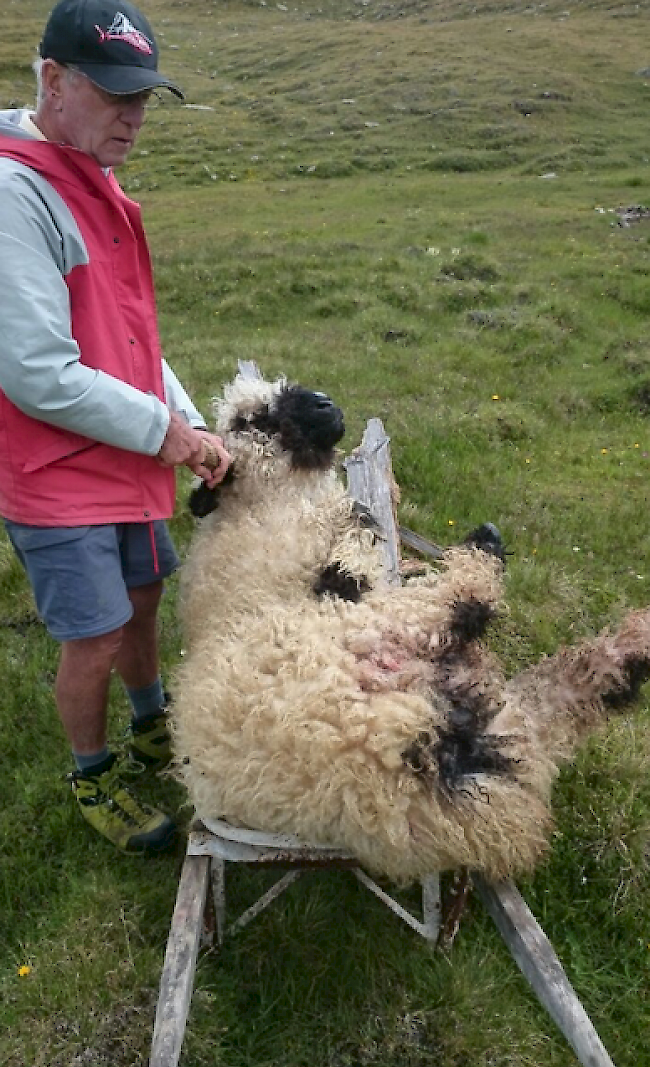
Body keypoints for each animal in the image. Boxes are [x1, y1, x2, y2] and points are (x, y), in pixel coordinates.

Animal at [170, 373, 648, 883]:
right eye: (252, 419)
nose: (325, 404)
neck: (273, 507)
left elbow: (358, 527)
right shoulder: (337, 589)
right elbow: (360, 534)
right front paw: (355, 554)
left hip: (479, 697)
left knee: (563, 689)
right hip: (382, 638)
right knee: (470, 602)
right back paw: (489, 545)